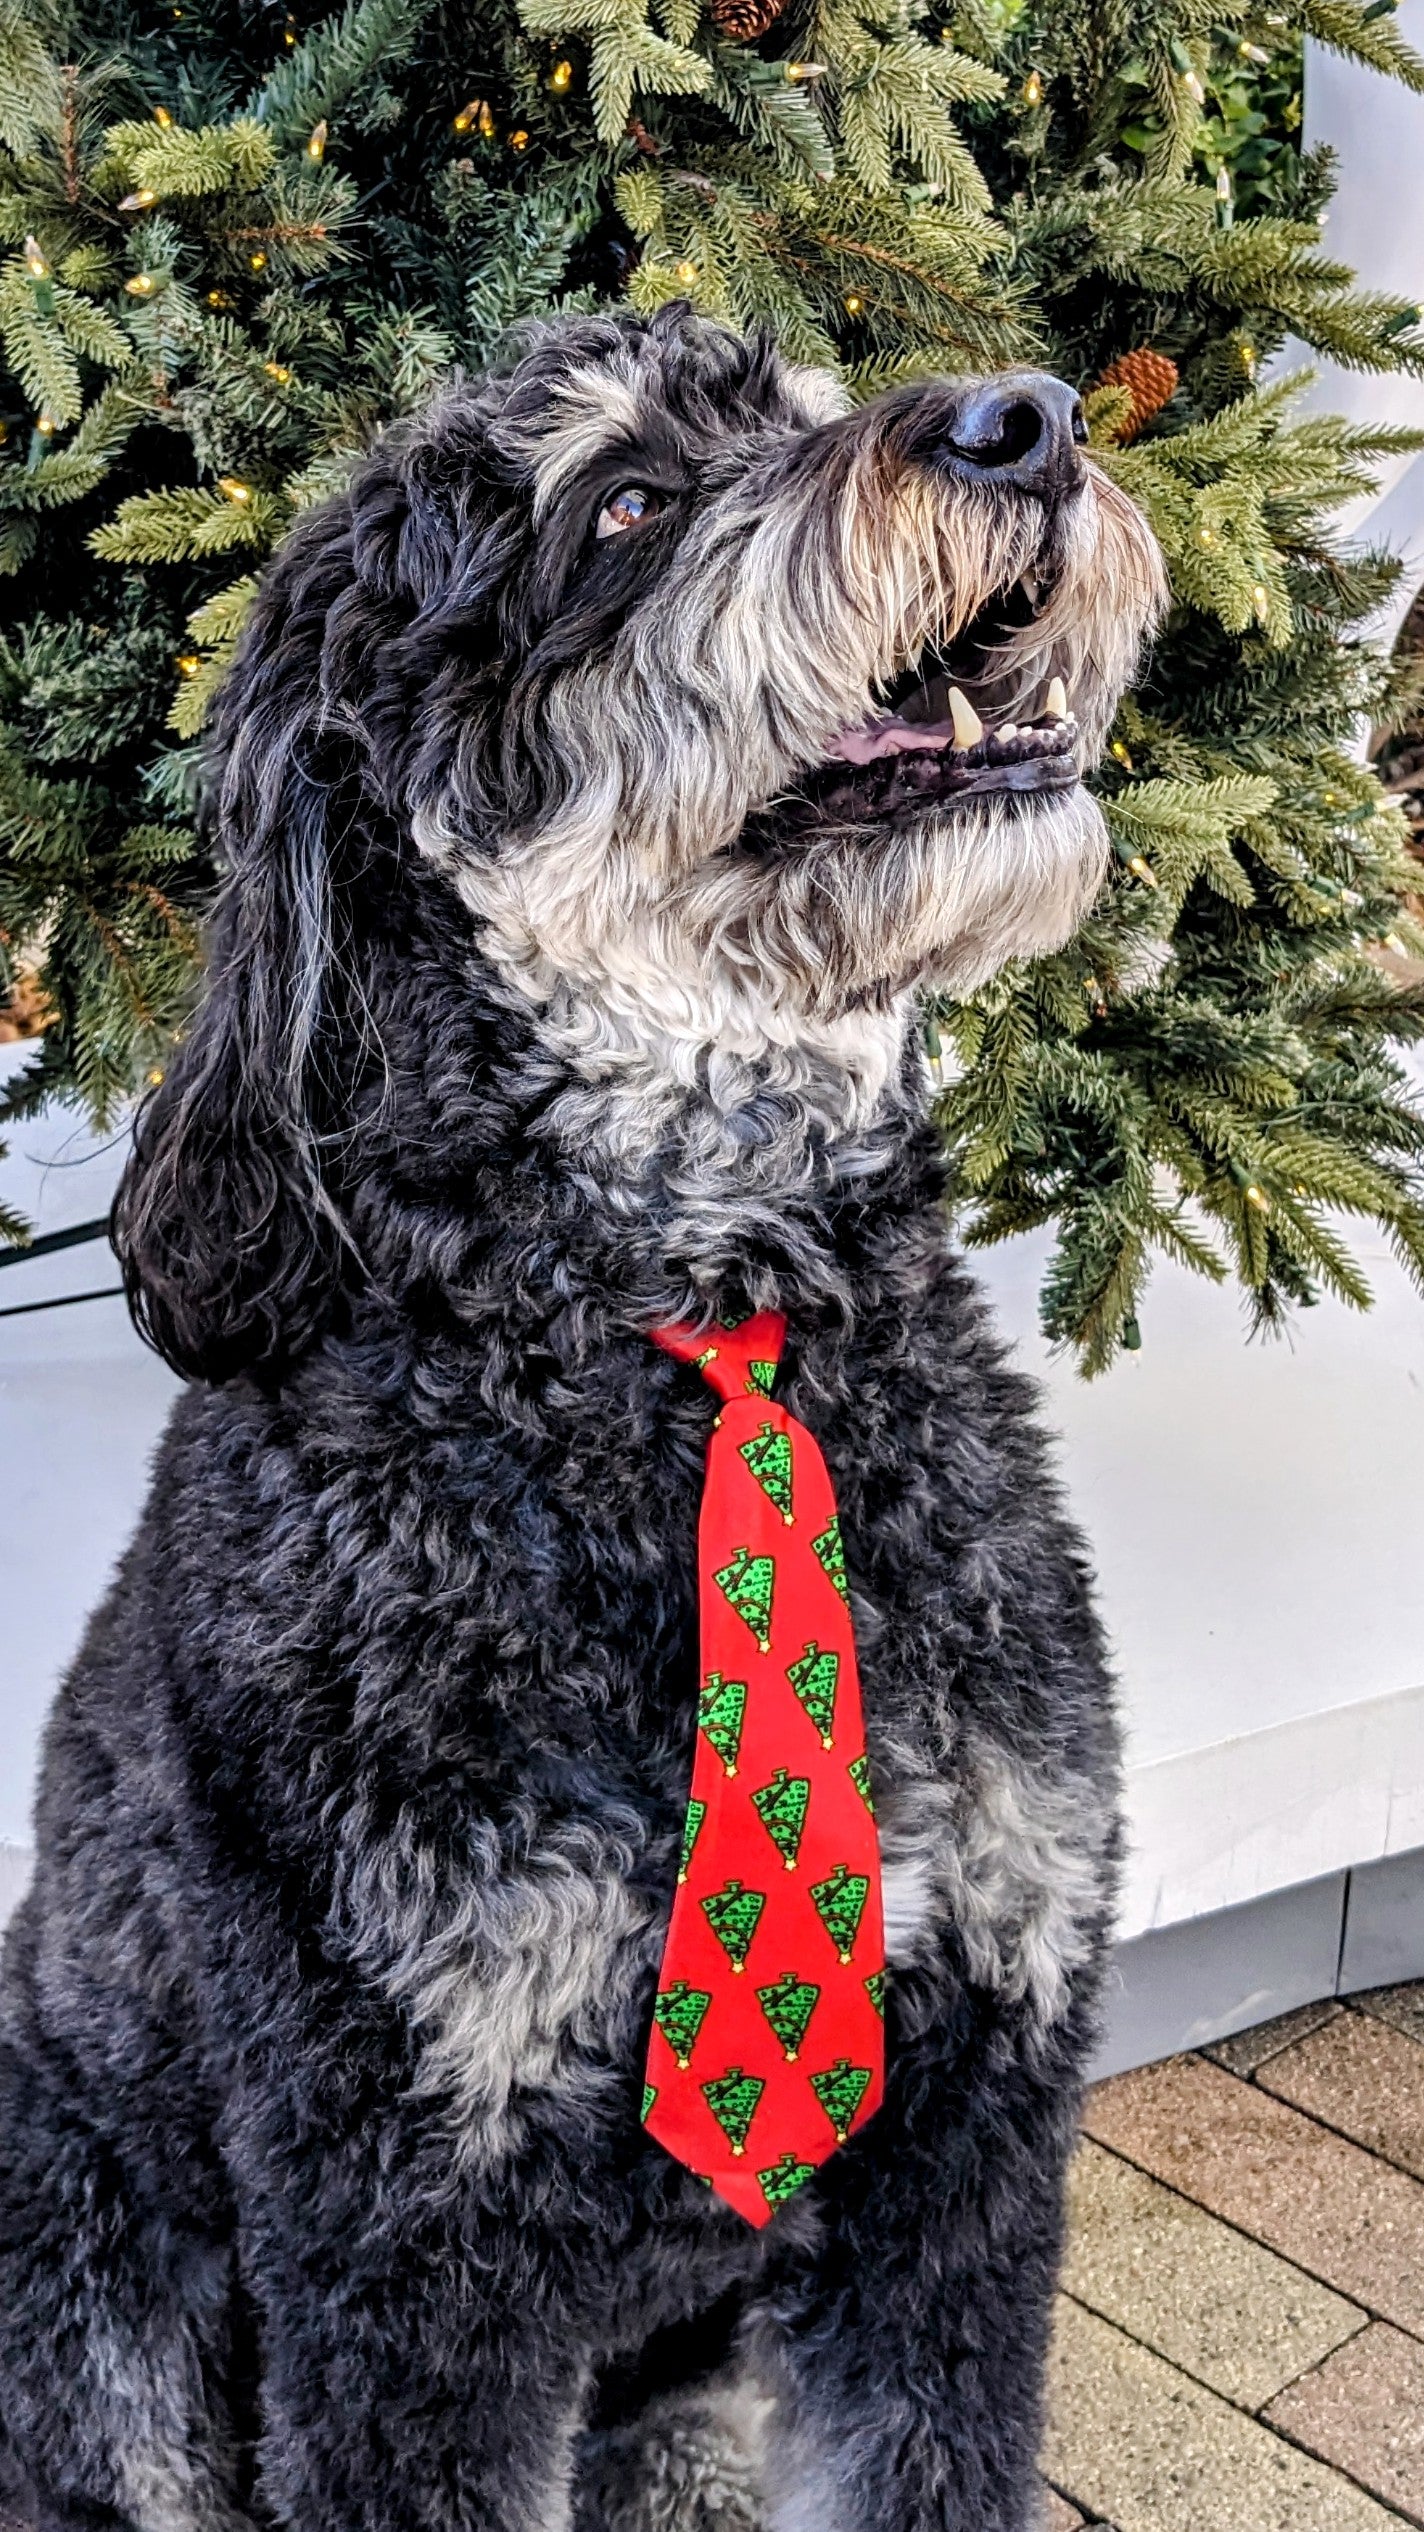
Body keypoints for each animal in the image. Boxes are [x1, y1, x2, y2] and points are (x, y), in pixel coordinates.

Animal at [0, 301, 1165, 2532]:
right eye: (621, 499)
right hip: (85, 2258)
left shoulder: (968, 2134)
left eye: (800, 410)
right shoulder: (402, 2218)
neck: (686, 1332)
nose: (1034, 420)